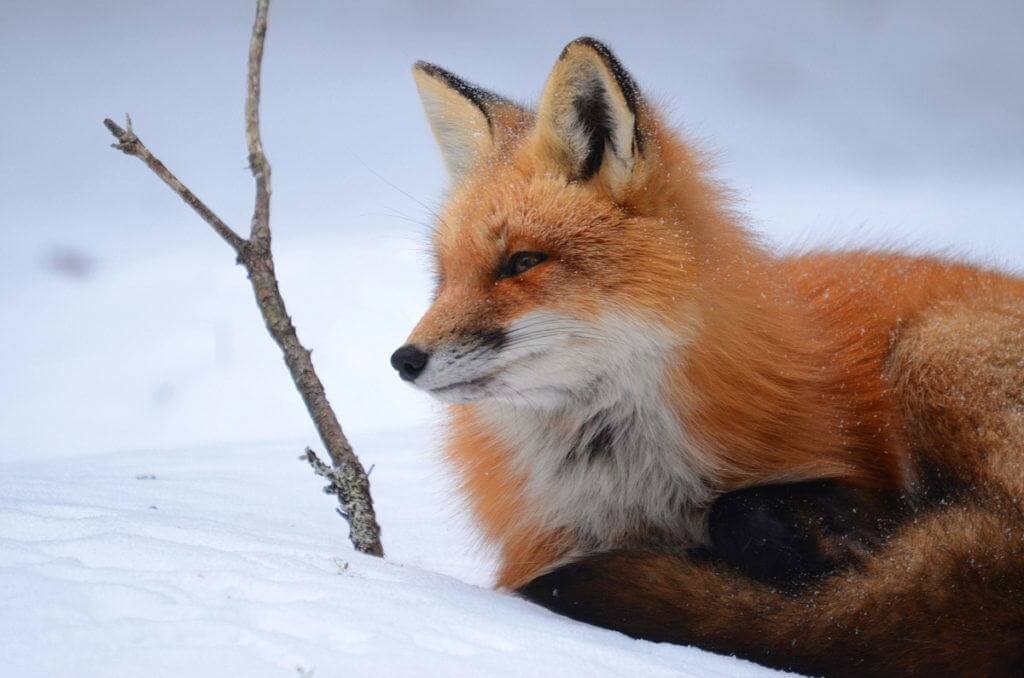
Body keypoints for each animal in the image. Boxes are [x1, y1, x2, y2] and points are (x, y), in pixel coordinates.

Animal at [391, 38, 1024, 678]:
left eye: (522, 263)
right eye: (443, 277)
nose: (403, 360)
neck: (630, 484)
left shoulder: (841, 470)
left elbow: (741, 513)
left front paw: (838, 554)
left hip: (932, 352)